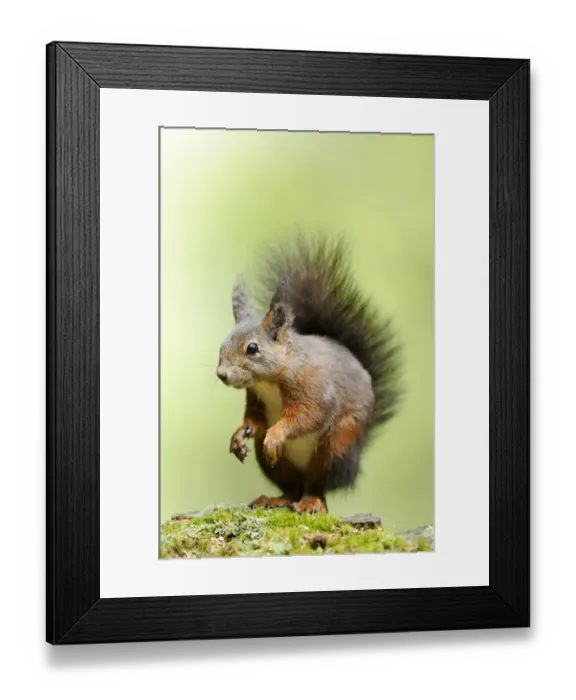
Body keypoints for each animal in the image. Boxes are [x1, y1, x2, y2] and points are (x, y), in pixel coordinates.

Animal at [216, 236, 400, 514]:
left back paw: (311, 501)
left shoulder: (312, 386)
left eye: (252, 348)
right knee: (292, 488)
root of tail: (355, 464)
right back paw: (276, 499)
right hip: (276, 464)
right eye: (221, 346)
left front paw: (276, 434)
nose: (222, 374)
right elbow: (254, 420)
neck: (269, 383)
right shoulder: (255, 398)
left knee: (317, 486)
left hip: (336, 447)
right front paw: (239, 435)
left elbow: (309, 414)